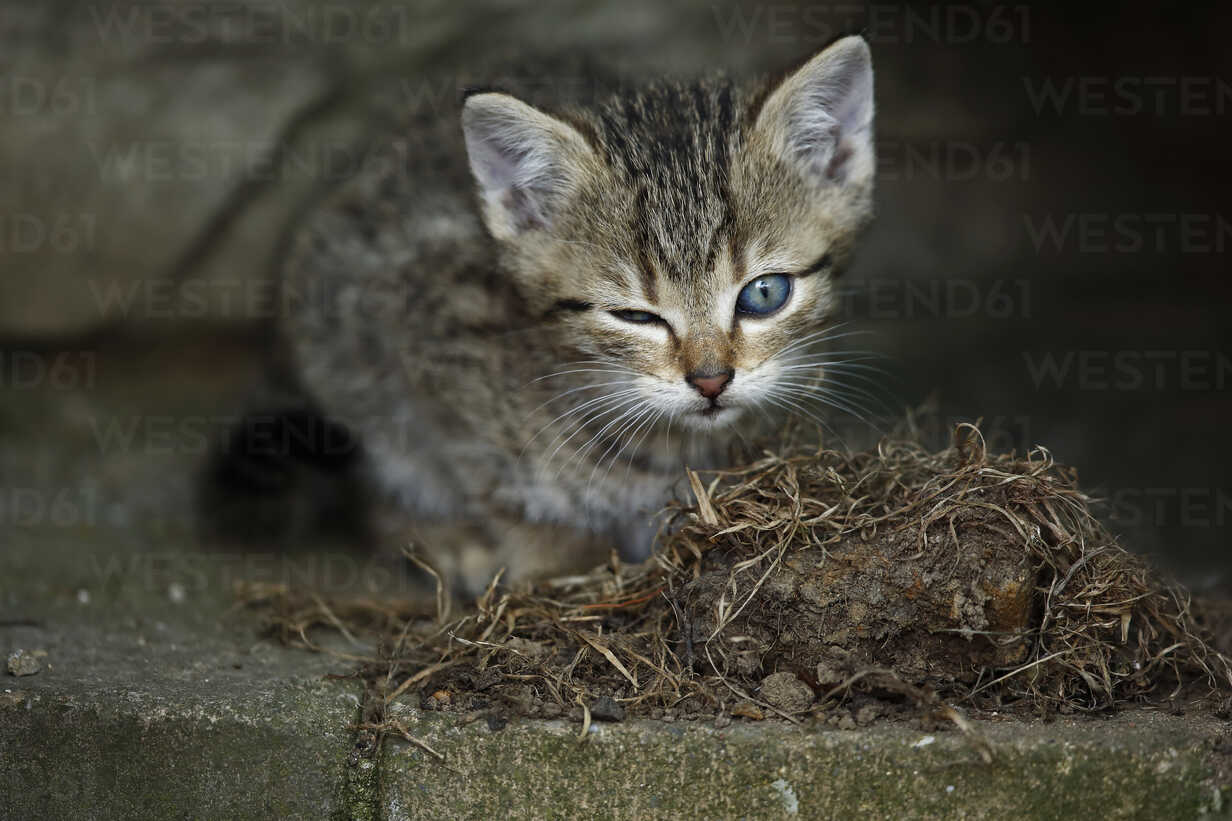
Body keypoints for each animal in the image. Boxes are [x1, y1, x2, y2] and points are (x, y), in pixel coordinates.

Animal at [211, 36, 872, 589]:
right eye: (635, 317)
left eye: (764, 294)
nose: (711, 381)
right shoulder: (422, 345)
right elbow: (485, 477)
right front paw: (543, 554)